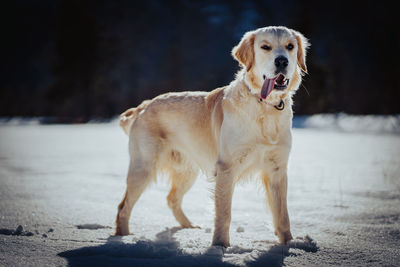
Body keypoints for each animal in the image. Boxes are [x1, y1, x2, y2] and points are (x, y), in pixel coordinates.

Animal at [115, 26, 310, 248]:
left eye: (290, 46)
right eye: (266, 47)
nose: (282, 61)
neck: (264, 106)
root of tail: (144, 105)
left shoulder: (277, 169)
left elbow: (282, 214)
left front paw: (289, 244)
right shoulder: (227, 168)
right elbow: (224, 213)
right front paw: (220, 245)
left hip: (186, 170)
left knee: (172, 199)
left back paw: (189, 227)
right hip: (144, 167)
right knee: (123, 207)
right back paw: (123, 237)